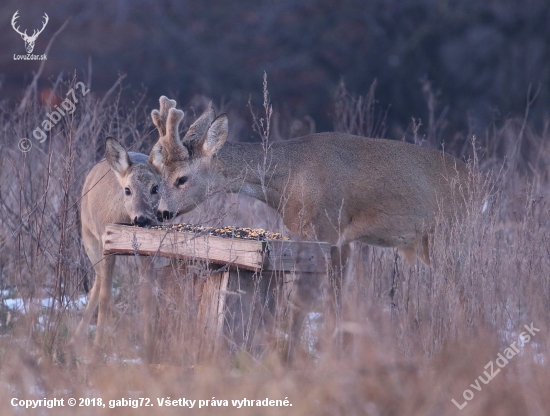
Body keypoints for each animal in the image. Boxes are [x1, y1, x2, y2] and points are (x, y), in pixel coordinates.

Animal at [71, 137, 162, 354]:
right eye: (127, 189)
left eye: (155, 188)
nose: (142, 219)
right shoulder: (107, 246)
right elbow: (105, 296)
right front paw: (97, 348)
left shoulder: (147, 252)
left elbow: (147, 295)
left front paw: (149, 347)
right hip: (89, 238)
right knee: (98, 283)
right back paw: (77, 340)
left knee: (97, 283)